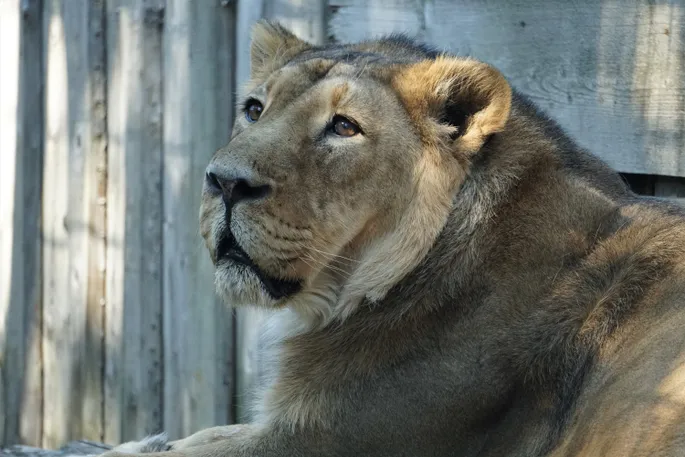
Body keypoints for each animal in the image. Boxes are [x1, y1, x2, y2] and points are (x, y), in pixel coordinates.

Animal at [101, 20, 684, 456]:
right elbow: (196, 436)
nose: (223, 182)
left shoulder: (323, 438)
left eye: (343, 127)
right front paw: (147, 441)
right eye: (253, 110)